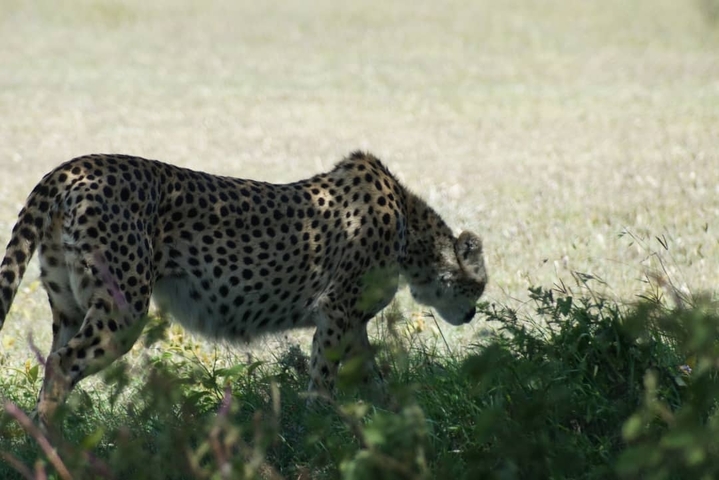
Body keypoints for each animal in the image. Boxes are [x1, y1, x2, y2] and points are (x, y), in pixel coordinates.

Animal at [0, 151, 487, 426]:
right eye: (479, 286)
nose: (471, 315)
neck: (410, 231)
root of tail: (75, 166)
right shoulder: (336, 311)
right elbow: (323, 377)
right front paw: (319, 426)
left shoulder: (351, 322)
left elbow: (371, 374)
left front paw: (393, 415)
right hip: (123, 309)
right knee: (63, 363)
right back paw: (55, 443)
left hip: (69, 307)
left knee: (52, 360)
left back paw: (41, 441)